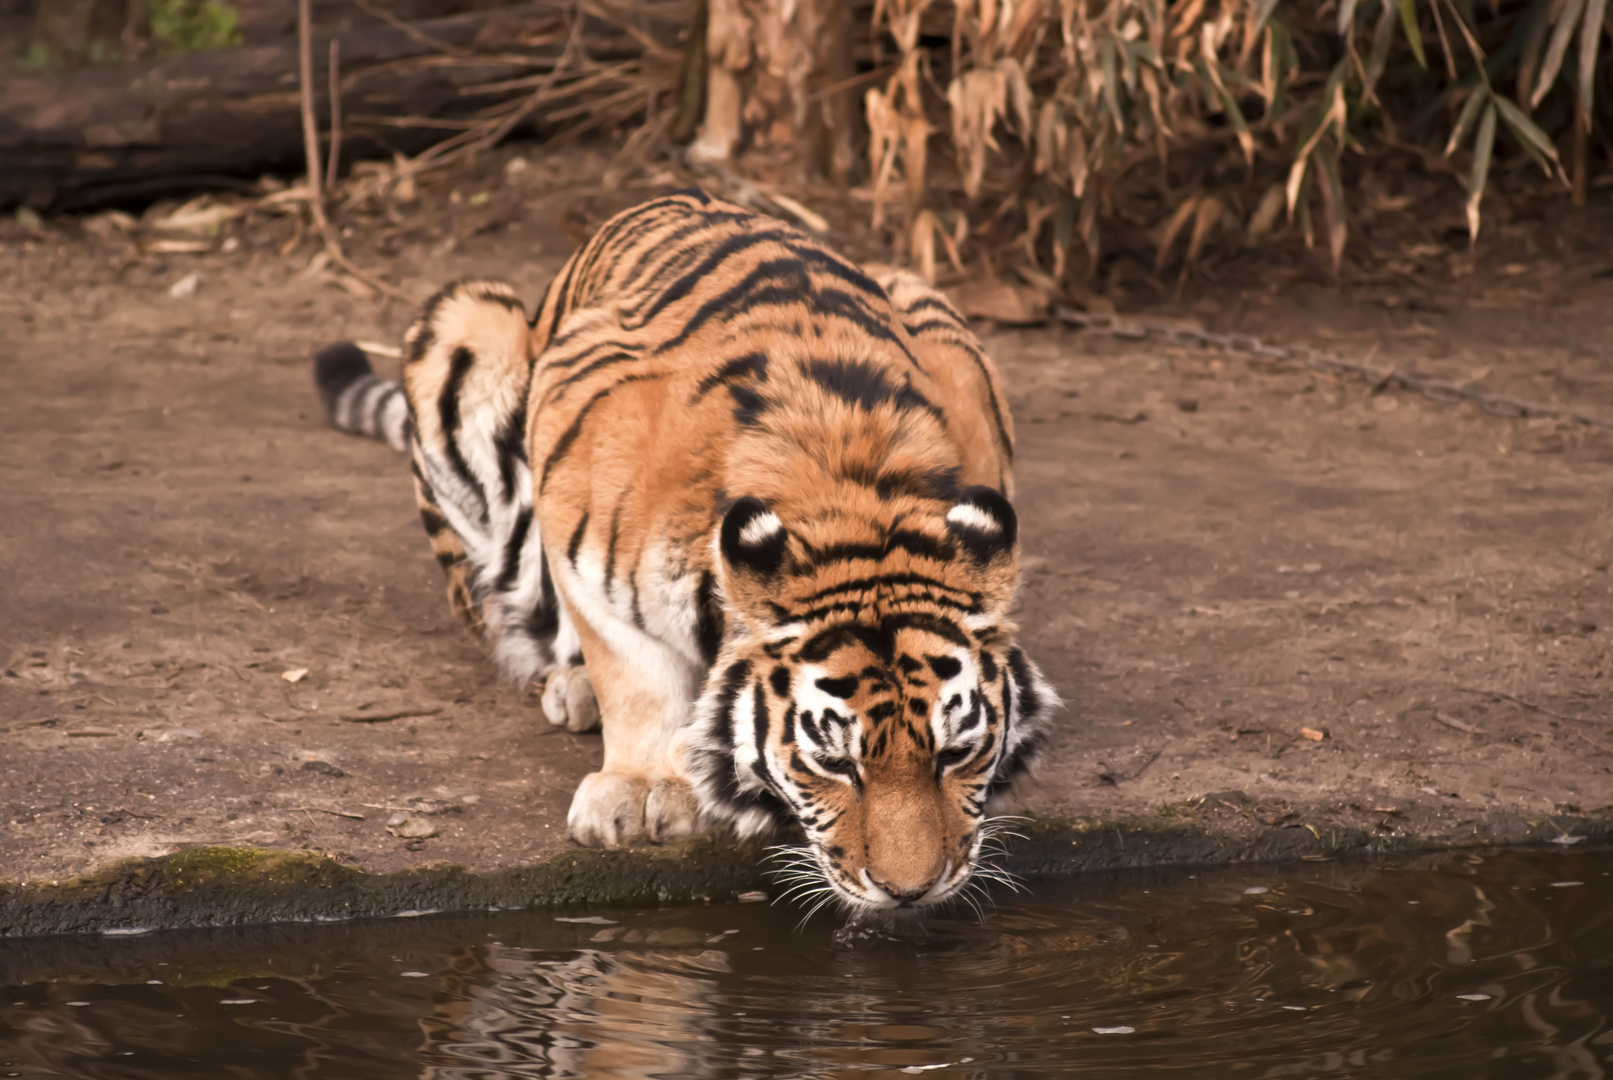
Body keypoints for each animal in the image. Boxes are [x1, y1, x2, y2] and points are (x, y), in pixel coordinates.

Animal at [312, 188, 1058, 915]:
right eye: (835, 764)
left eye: (956, 753)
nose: (910, 891)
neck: (850, 494)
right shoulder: (573, 521)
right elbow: (632, 674)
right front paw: (635, 788)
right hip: (468, 324)